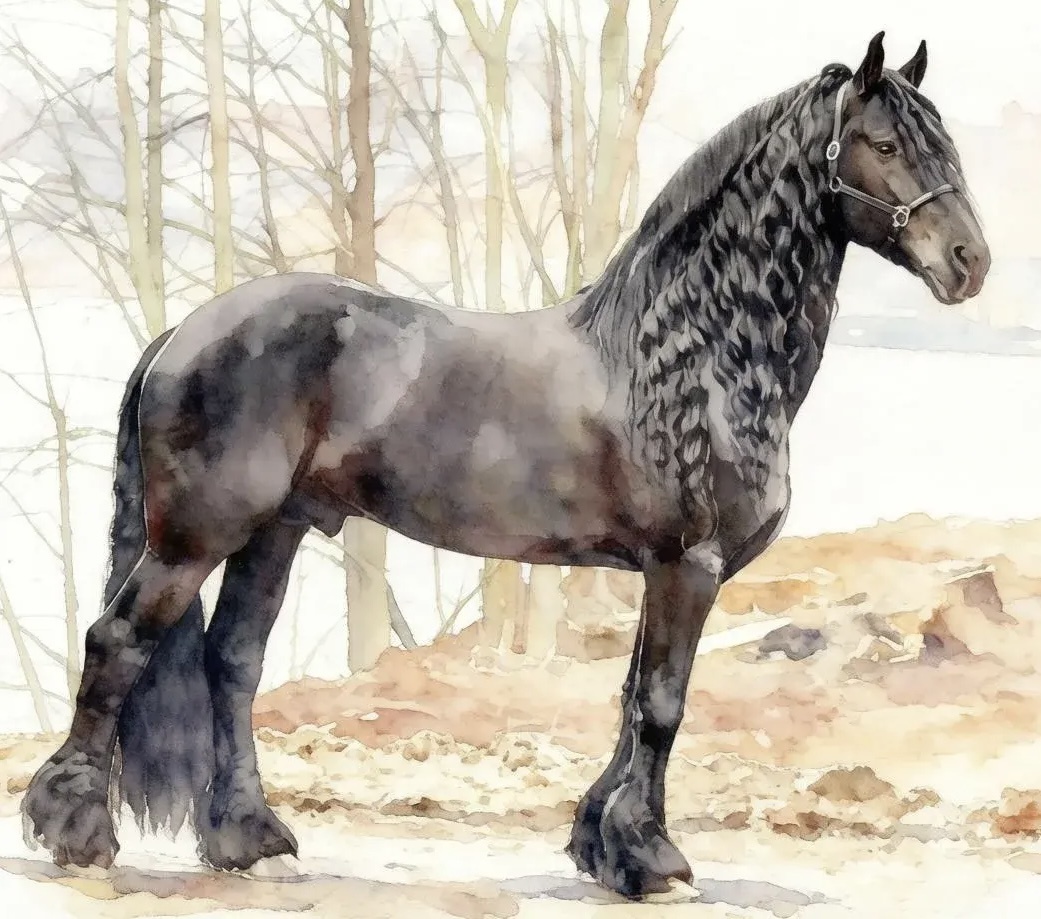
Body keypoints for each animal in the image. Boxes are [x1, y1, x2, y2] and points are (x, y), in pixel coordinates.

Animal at [22, 32, 989, 899]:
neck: (690, 352)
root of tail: (183, 332)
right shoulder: (689, 565)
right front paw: (653, 859)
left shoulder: (658, 569)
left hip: (276, 531)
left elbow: (633, 696)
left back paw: (247, 837)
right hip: (197, 533)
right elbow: (663, 705)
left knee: (232, 661)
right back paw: (75, 830)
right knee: (118, 641)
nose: (969, 262)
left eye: (944, 142)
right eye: (884, 144)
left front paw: (604, 845)